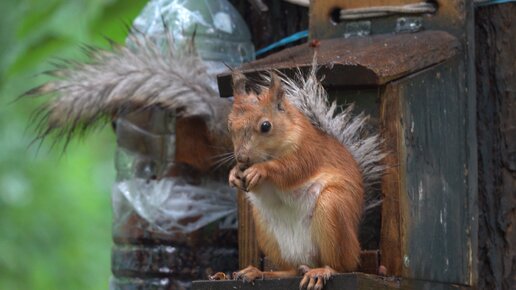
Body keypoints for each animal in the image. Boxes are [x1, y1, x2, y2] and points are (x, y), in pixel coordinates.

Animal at [226, 71, 362, 288]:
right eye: (229, 125)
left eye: (266, 126)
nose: (242, 158)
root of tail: (309, 261)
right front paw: (234, 175)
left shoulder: (308, 151)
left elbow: (292, 169)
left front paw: (260, 170)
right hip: (266, 231)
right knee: (291, 270)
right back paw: (258, 272)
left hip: (333, 210)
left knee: (341, 266)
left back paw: (322, 271)